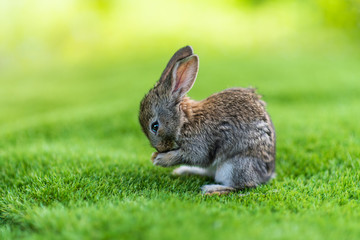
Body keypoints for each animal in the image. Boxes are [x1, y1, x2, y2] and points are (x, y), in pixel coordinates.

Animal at [138, 46, 276, 195]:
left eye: (155, 126)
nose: (160, 148)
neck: (184, 122)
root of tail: (267, 174)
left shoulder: (199, 146)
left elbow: (191, 156)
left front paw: (160, 159)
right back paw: (184, 171)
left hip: (236, 166)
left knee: (243, 186)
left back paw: (212, 189)